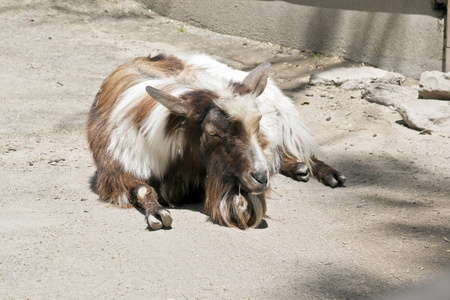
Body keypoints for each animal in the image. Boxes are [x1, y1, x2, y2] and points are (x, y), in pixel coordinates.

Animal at [86, 52, 346, 230]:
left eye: (257, 124)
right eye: (213, 132)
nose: (261, 179)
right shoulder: (116, 169)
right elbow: (141, 189)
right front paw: (156, 212)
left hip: (283, 120)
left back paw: (328, 173)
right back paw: (299, 168)